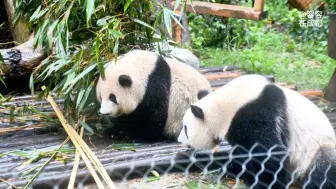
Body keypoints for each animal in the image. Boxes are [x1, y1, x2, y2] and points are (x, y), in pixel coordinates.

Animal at [177, 74, 336, 188]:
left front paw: (263, 183)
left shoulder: (257, 113)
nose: (179, 141)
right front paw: (234, 169)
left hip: (318, 148)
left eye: (185, 128)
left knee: (323, 170)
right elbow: (243, 152)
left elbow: (269, 153)